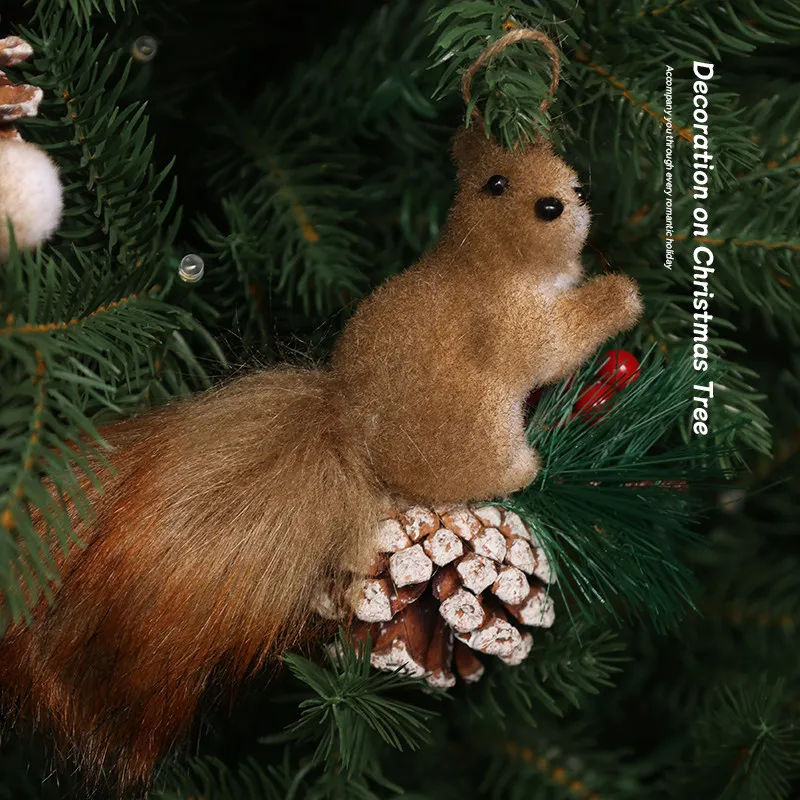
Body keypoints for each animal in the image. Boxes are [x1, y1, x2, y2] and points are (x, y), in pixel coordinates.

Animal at [0, 125, 641, 793]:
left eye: (566, 172)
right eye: (496, 183)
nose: (557, 204)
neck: (492, 260)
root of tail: (348, 435)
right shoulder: (509, 325)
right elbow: (554, 347)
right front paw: (620, 296)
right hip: (481, 428)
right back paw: (527, 470)